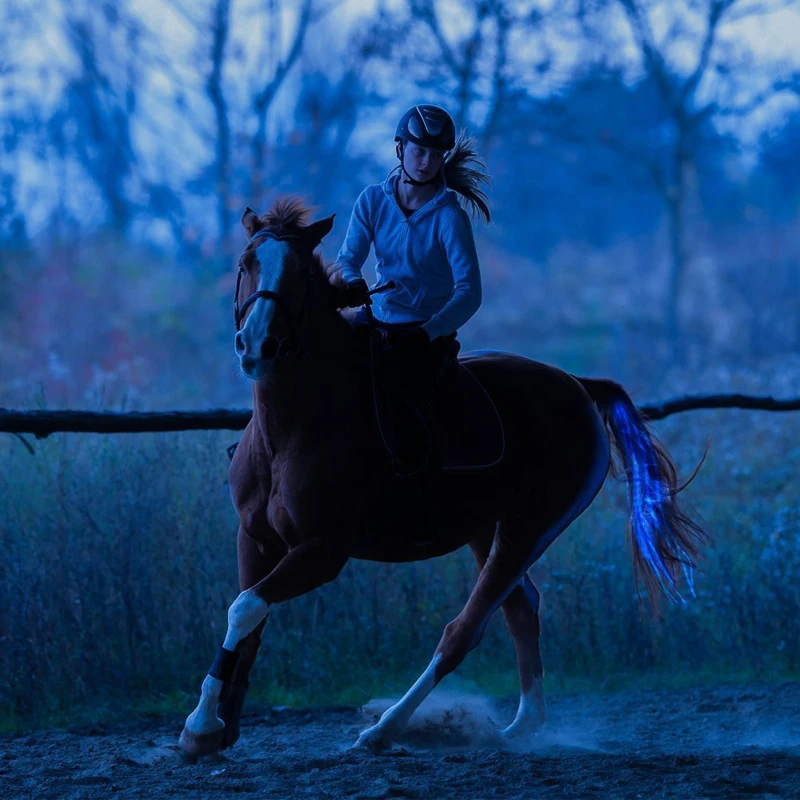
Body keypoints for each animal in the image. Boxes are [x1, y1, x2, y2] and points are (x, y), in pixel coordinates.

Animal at [178, 195, 708, 756]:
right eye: (245, 265)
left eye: (300, 274)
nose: (257, 345)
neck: (292, 426)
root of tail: (580, 386)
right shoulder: (255, 537)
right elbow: (247, 617)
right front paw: (214, 726)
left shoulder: (322, 551)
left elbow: (245, 607)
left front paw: (200, 725)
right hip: (487, 531)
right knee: (521, 609)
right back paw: (520, 727)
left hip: (529, 529)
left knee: (465, 630)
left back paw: (385, 729)